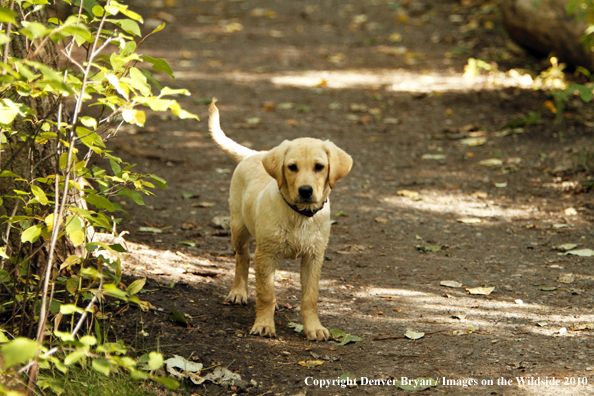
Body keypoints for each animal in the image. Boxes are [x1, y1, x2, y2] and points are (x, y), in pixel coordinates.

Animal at [206, 99, 350, 340]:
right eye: (292, 167)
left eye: (319, 167)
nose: (305, 190)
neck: (299, 215)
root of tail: (253, 154)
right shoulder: (265, 255)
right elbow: (266, 293)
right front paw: (264, 324)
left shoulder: (314, 257)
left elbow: (310, 297)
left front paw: (314, 327)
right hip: (239, 227)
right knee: (242, 259)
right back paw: (238, 292)